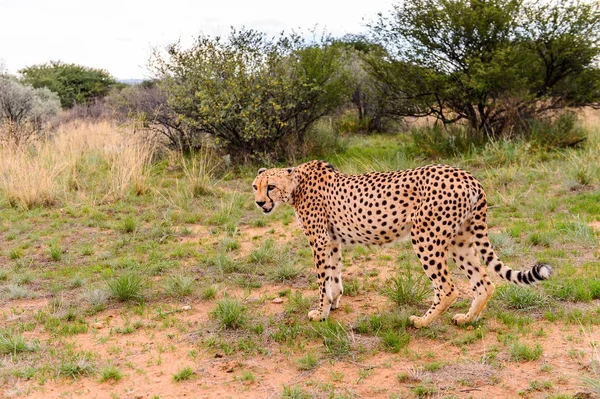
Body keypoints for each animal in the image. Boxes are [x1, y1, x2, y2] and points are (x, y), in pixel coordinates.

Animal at [251, 161, 552, 330]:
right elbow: (334, 277)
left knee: (448, 288)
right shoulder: (333, 241)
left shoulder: (319, 241)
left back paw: (422, 321)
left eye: (271, 187)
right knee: (484, 283)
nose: (259, 202)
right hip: (460, 239)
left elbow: (322, 281)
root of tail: (467, 175)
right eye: (255, 186)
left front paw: (320, 313)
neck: (296, 185)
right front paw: (333, 304)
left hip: (426, 236)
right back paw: (467, 319)